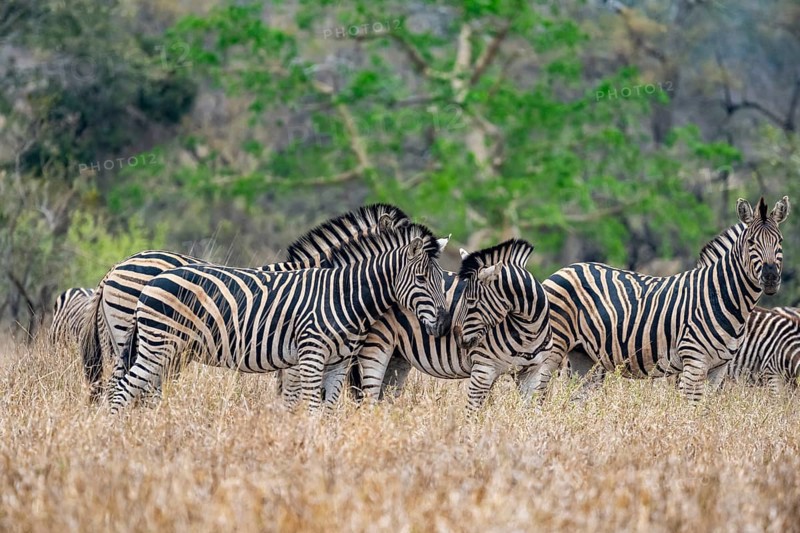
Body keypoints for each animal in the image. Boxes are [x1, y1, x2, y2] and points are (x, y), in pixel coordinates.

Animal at [349, 239, 553, 412]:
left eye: (470, 301)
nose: (455, 336)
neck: (528, 332)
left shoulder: (533, 373)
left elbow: (530, 415)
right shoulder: (484, 368)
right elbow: (472, 415)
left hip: (398, 355)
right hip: (376, 345)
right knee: (369, 398)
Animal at [537, 196, 789, 402]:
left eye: (780, 241)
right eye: (751, 242)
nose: (770, 278)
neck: (722, 297)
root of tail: (565, 269)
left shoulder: (719, 368)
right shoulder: (694, 361)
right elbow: (691, 411)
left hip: (584, 357)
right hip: (553, 348)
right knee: (536, 392)